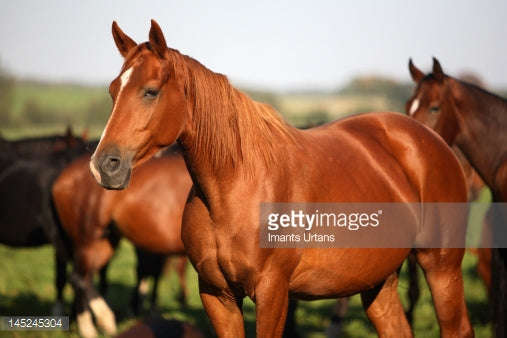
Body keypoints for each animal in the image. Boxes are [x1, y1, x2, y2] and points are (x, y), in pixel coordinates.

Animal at [52, 146, 192, 338]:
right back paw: (89, 328)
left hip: (104, 243)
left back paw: (105, 320)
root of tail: (61, 178)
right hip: (87, 242)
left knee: (86, 278)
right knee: (78, 279)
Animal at [89, 20, 474, 336]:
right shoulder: (217, 295)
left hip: (441, 266)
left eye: (150, 91)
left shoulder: (272, 293)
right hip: (379, 281)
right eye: (112, 91)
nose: (104, 165)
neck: (234, 188)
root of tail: (430, 139)